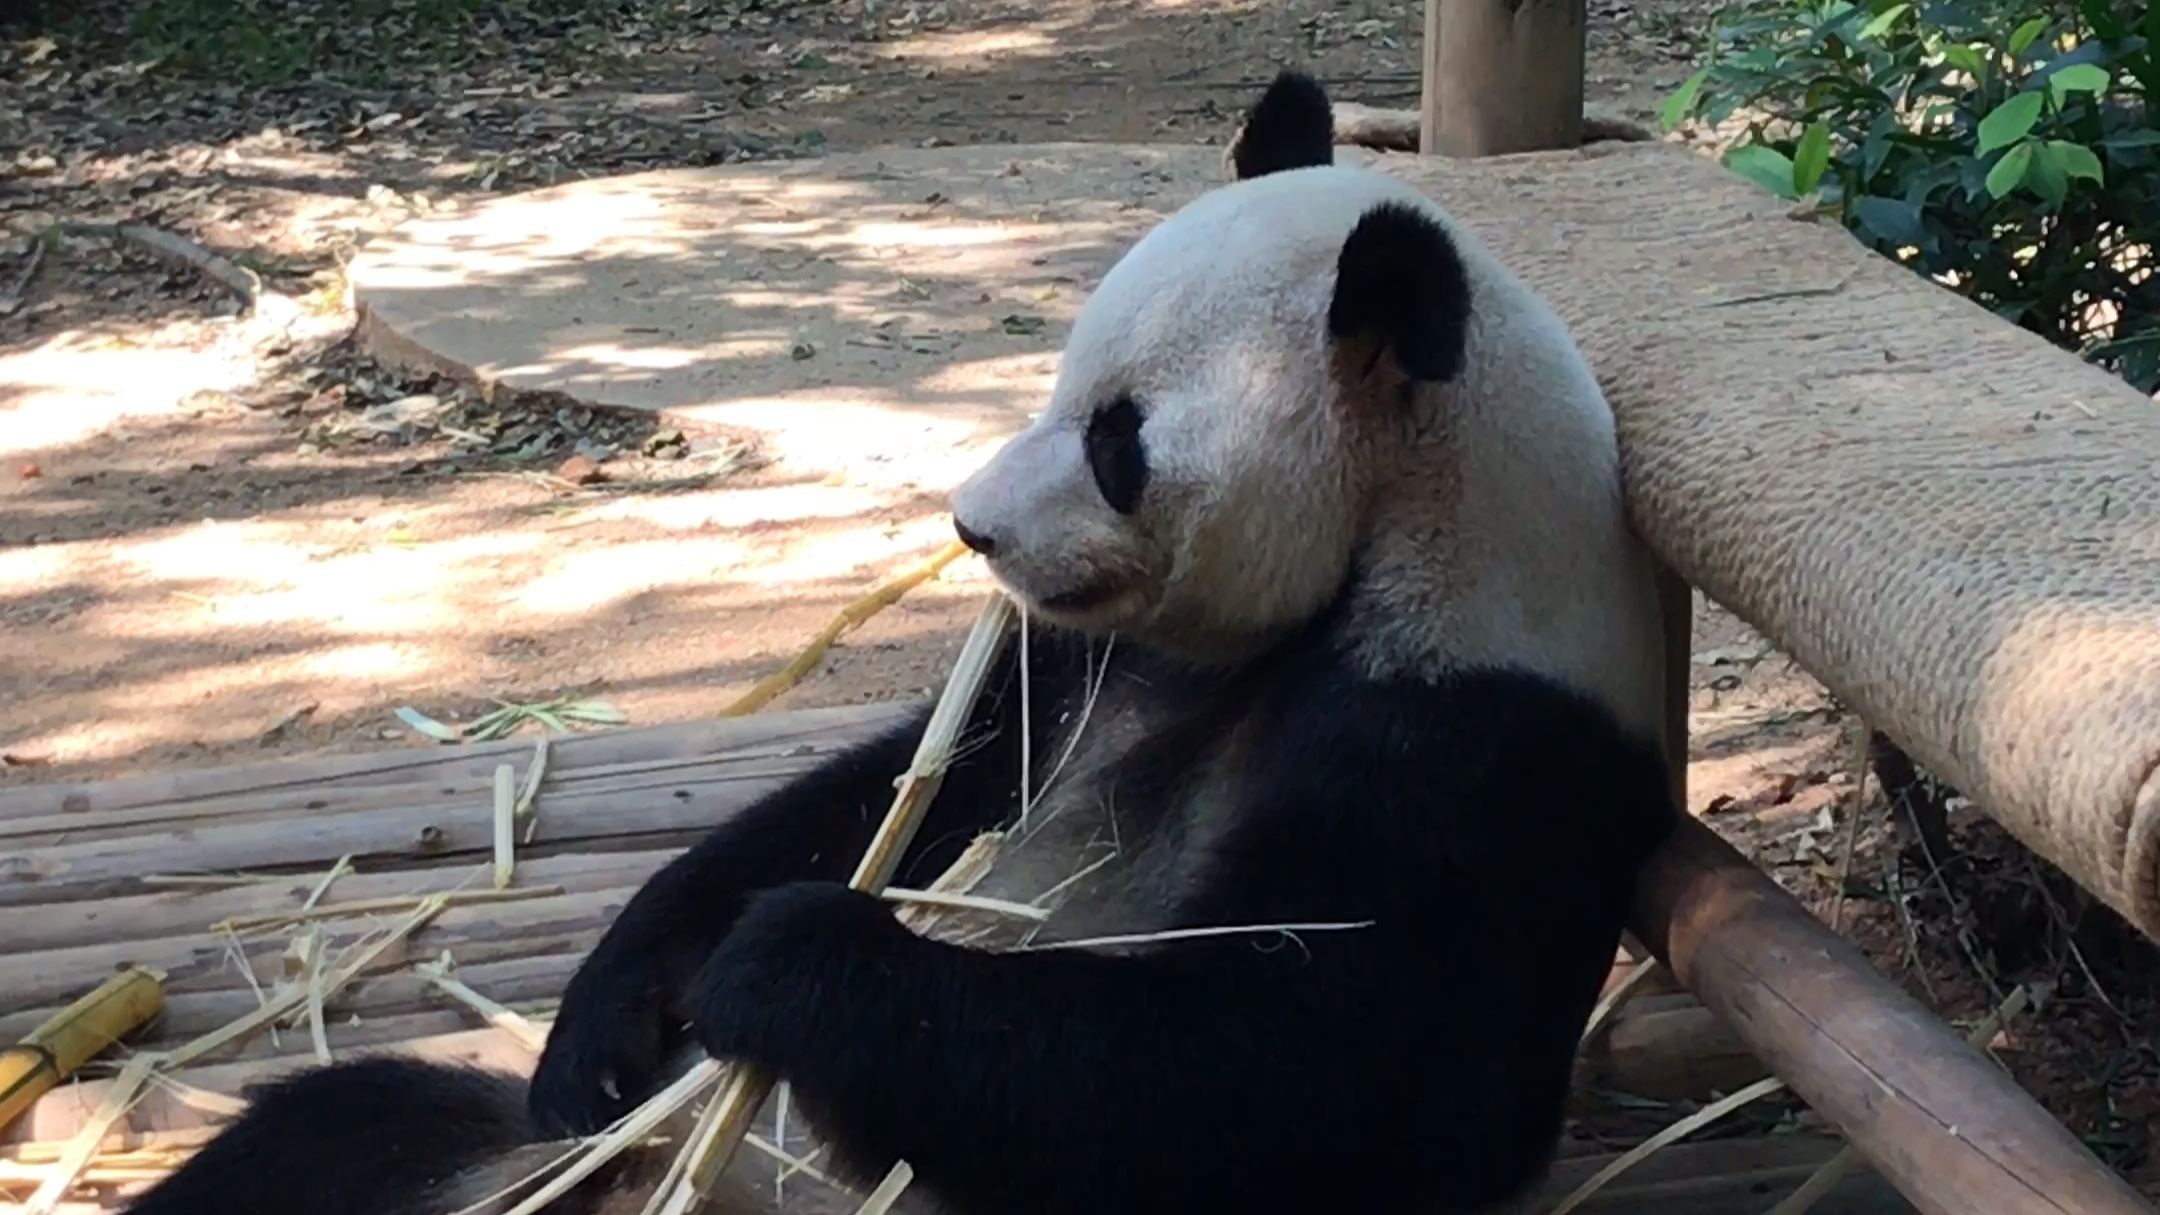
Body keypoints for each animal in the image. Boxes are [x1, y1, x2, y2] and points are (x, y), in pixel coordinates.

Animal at [113, 68, 1667, 1210]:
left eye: (1117, 445)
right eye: (1059, 379)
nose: (972, 528)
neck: (1396, 545)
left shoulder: (1471, 739)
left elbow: (1334, 1076)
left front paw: (792, 964)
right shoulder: (1082, 668)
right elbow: (899, 785)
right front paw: (615, 1018)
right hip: (493, 1158)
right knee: (331, 1131)